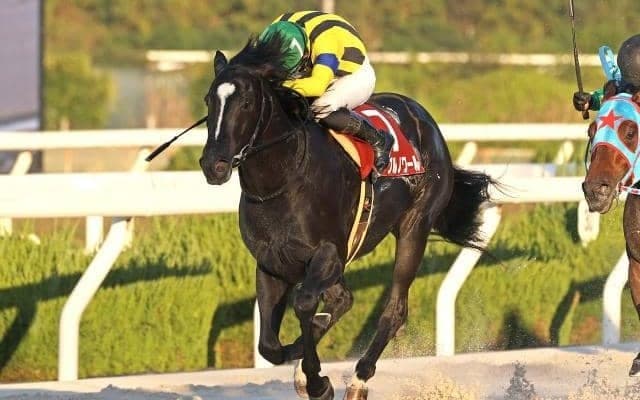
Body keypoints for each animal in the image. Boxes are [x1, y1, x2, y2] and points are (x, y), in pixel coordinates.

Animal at [198, 36, 495, 400]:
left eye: (246, 102)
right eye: (209, 100)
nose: (213, 165)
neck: (284, 178)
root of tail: (424, 118)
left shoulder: (328, 254)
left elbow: (305, 302)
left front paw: (317, 380)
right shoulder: (271, 263)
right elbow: (269, 345)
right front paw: (301, 361)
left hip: (415, 227)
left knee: (394, 309)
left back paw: (358, 379)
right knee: (343, 299)